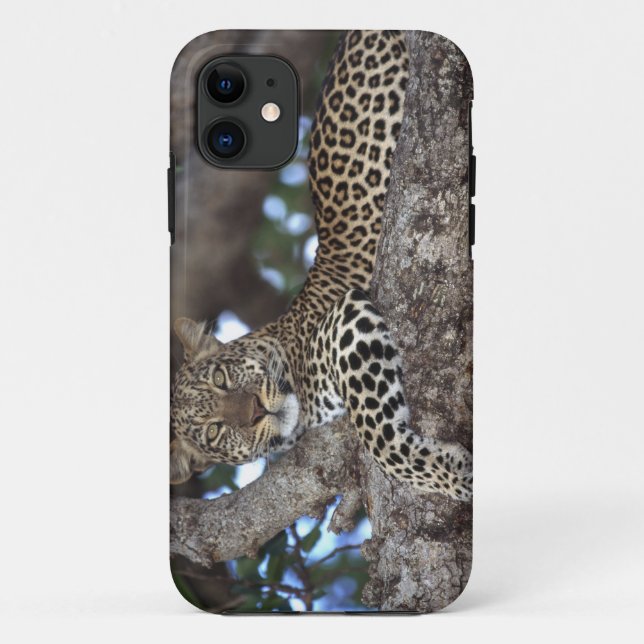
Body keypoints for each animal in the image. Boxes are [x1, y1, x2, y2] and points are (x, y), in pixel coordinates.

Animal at [171, 30, 473, 502]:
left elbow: (377, 434)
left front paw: (458, 476)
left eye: (221, 377)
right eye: (215, 431)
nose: (255, 411)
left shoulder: (347, 319)